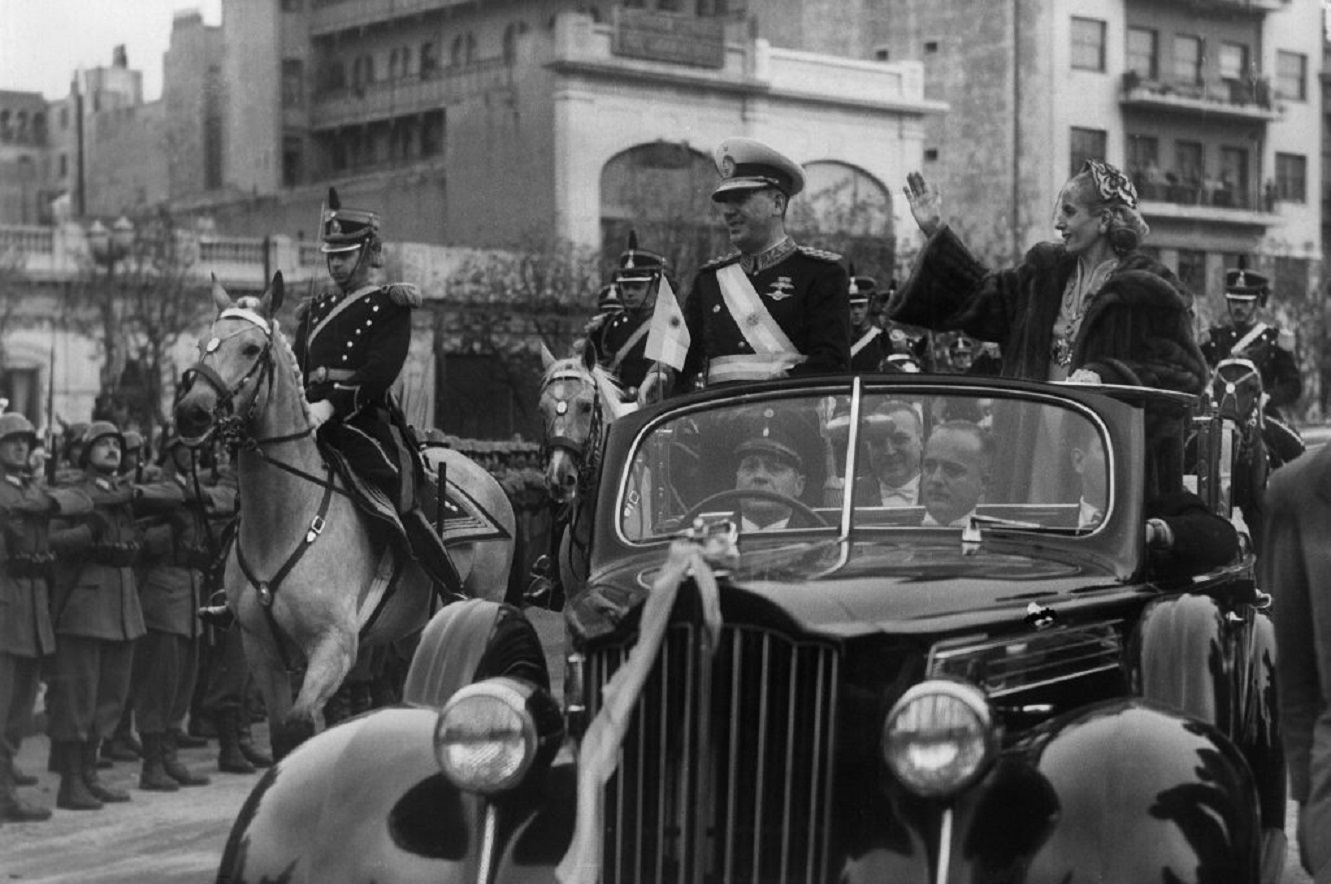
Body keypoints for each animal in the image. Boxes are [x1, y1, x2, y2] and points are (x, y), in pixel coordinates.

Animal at [173, 273, 514, 759]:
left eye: (252, 349)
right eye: (204, 344)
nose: (192, 413)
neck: (284, 522)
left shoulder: (334, 646)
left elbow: (301, 726)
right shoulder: (260, 649)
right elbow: (283, 735)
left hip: (483, 602)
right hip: (416, 629)